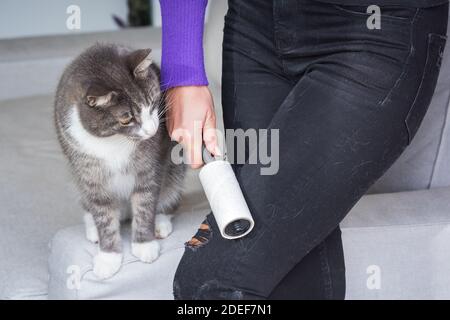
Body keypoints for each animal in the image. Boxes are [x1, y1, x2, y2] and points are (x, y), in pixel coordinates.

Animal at [54, 43, 185, 278]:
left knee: (169, 193)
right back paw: (92, 228)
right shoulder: (89, 173)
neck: (114, 141)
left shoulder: (148, 167)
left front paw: (144, 245)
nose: (152, 130)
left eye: (153, 102)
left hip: (175, 168)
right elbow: (103, 213)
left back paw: (161, 222)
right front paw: (108, 257)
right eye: (126, 119)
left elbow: (145, 202)